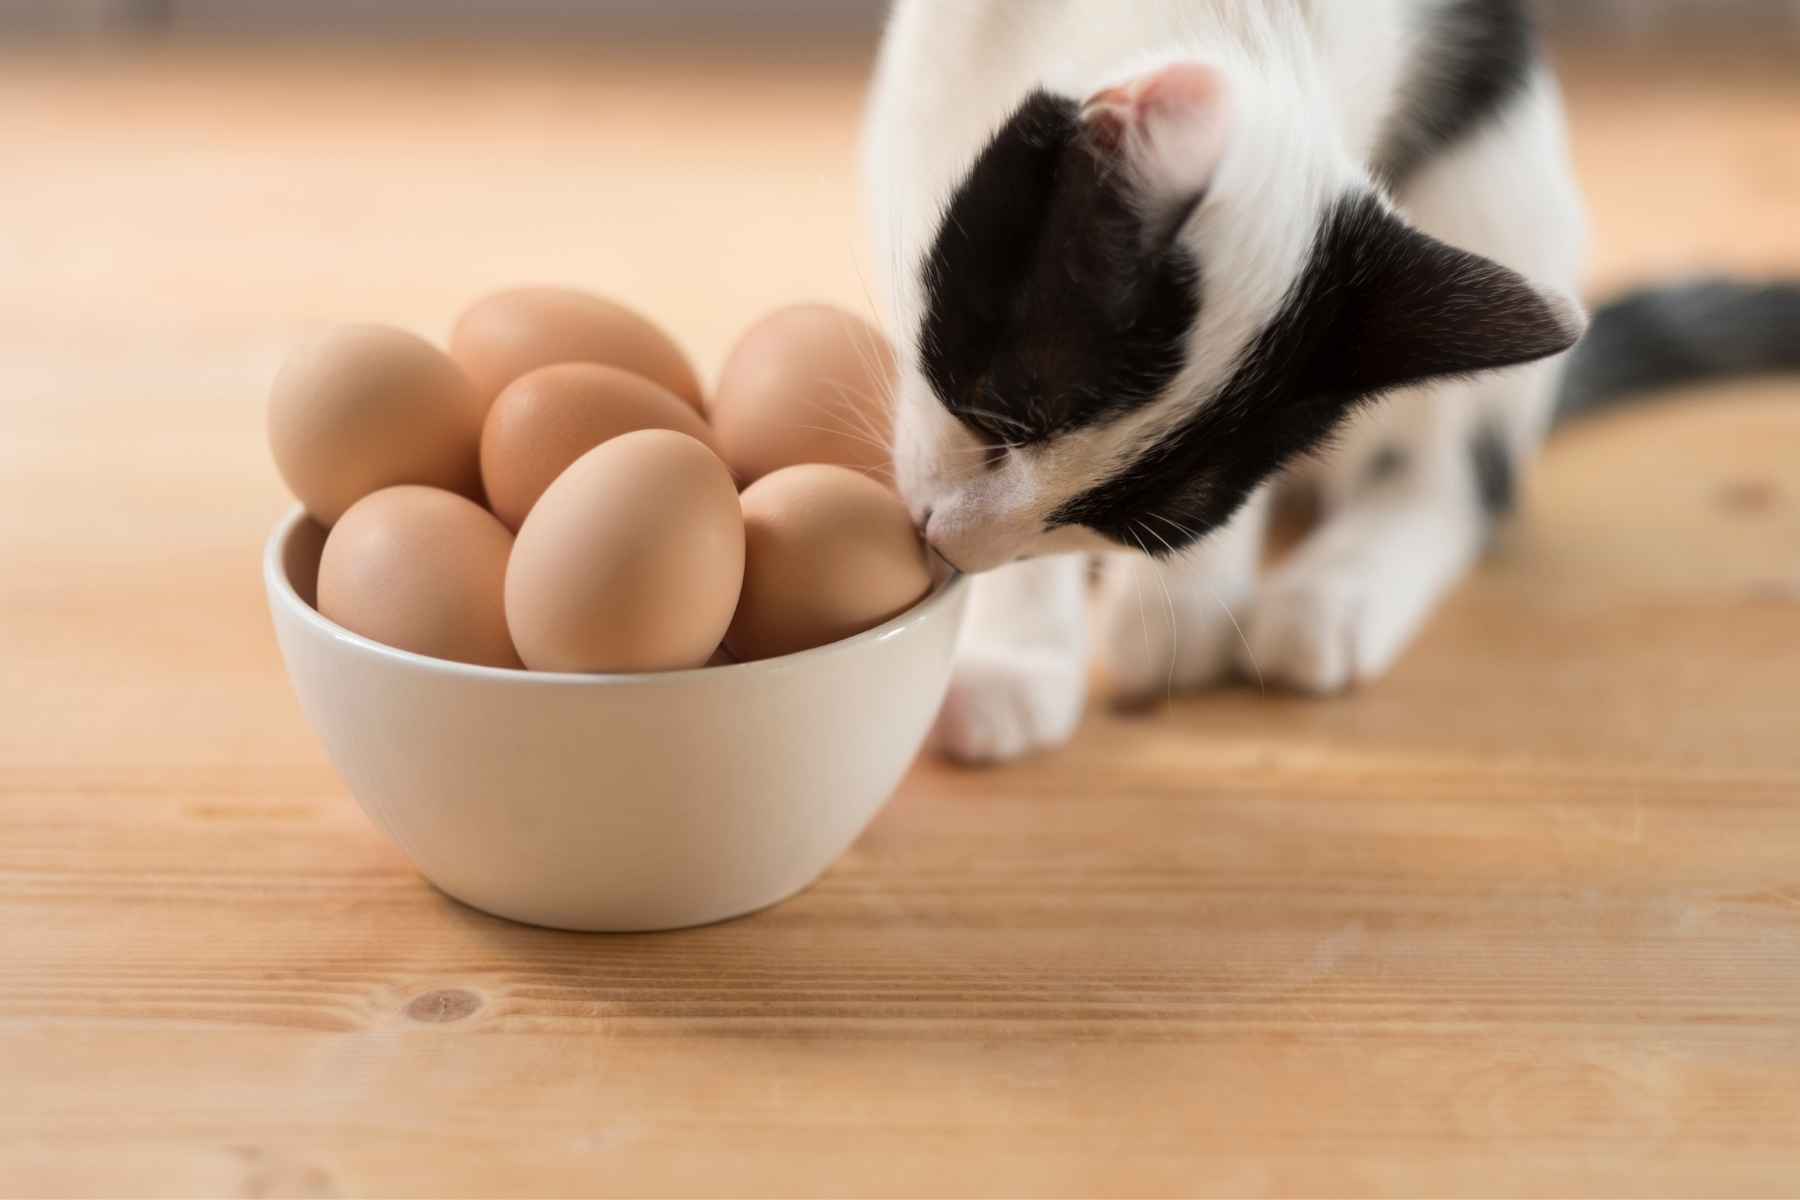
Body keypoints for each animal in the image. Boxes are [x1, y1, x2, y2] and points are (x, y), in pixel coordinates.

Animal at [856, 0, 1800, 766]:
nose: (955, 548)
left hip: (1499, 186)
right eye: (995, 417)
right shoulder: (930, 82)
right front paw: (1012, 655)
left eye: (1137, 527)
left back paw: (1332, 593)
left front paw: (1182, 603)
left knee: (1463, 480)